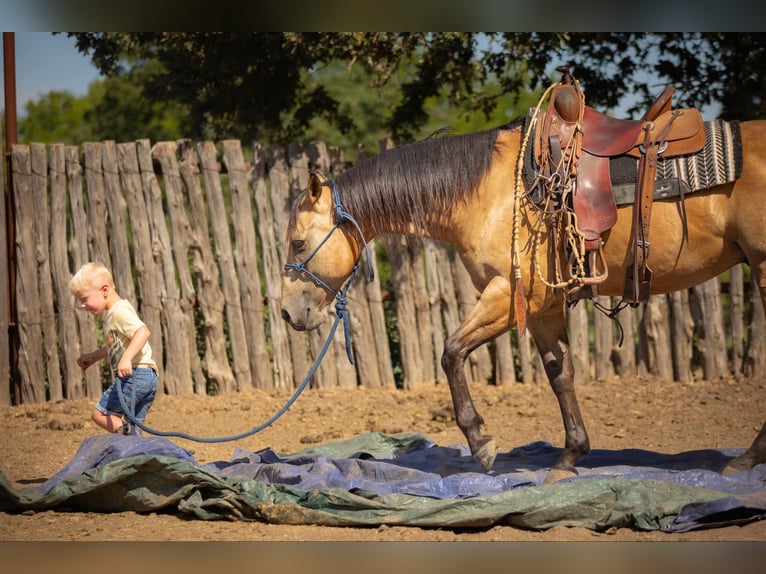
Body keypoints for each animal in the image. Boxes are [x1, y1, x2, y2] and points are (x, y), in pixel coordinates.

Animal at [279, 116, 766, 483]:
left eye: (299, 243)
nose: (287, 311)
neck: (487, 194)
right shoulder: (542, 308)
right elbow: (560, 374)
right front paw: (569, 457)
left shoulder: (508, 295)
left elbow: (451, 351)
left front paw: (481, 442)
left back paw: (745, 460)